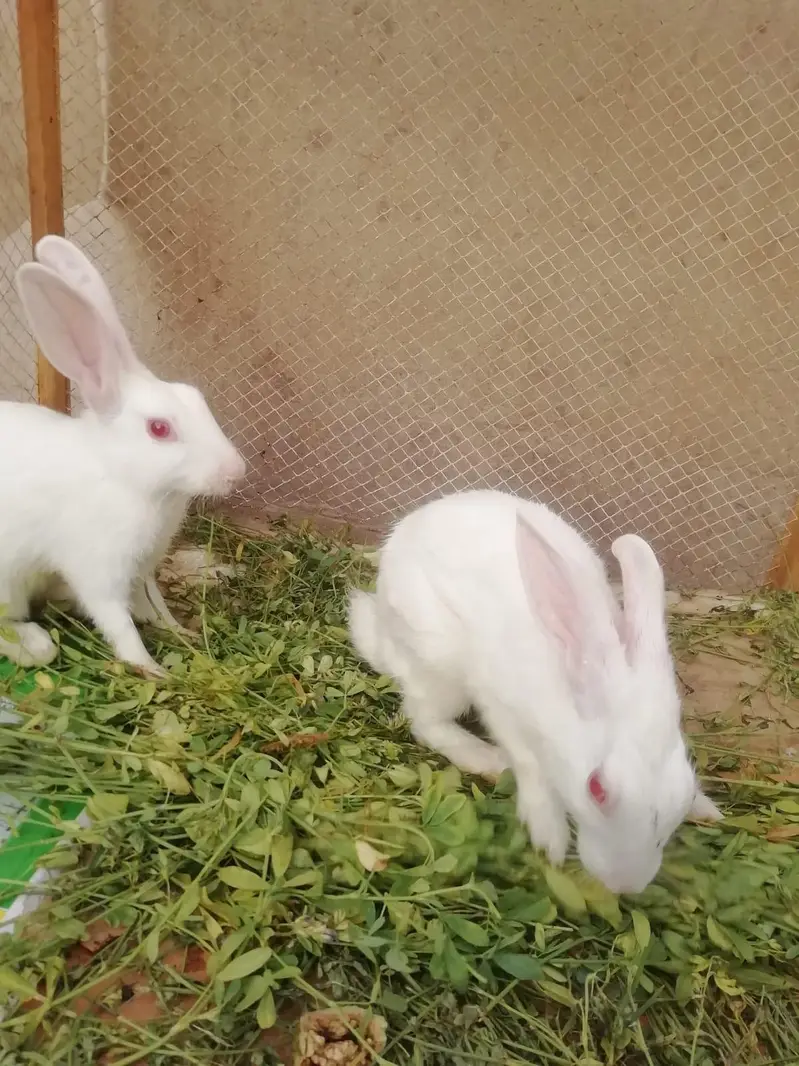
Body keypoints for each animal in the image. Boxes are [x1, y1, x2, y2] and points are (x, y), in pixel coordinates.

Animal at [0, 235, 246, 676]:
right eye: (159, 429)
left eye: (195, 397)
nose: (237, 471)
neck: (124, 477)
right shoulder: (99, 570)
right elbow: (118, 622)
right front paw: (153, 669)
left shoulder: (142, 570)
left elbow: (153, 603)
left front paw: (180, 630)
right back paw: (34, 644)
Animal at [349, 488, 722, 894]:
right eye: (596, 788)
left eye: (685, 789)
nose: (626, 886)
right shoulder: (501, 707)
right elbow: (530, 767)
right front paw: (549, 840)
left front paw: (707, 809)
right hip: (437, 666)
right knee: (425, 722)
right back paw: (487, 760)